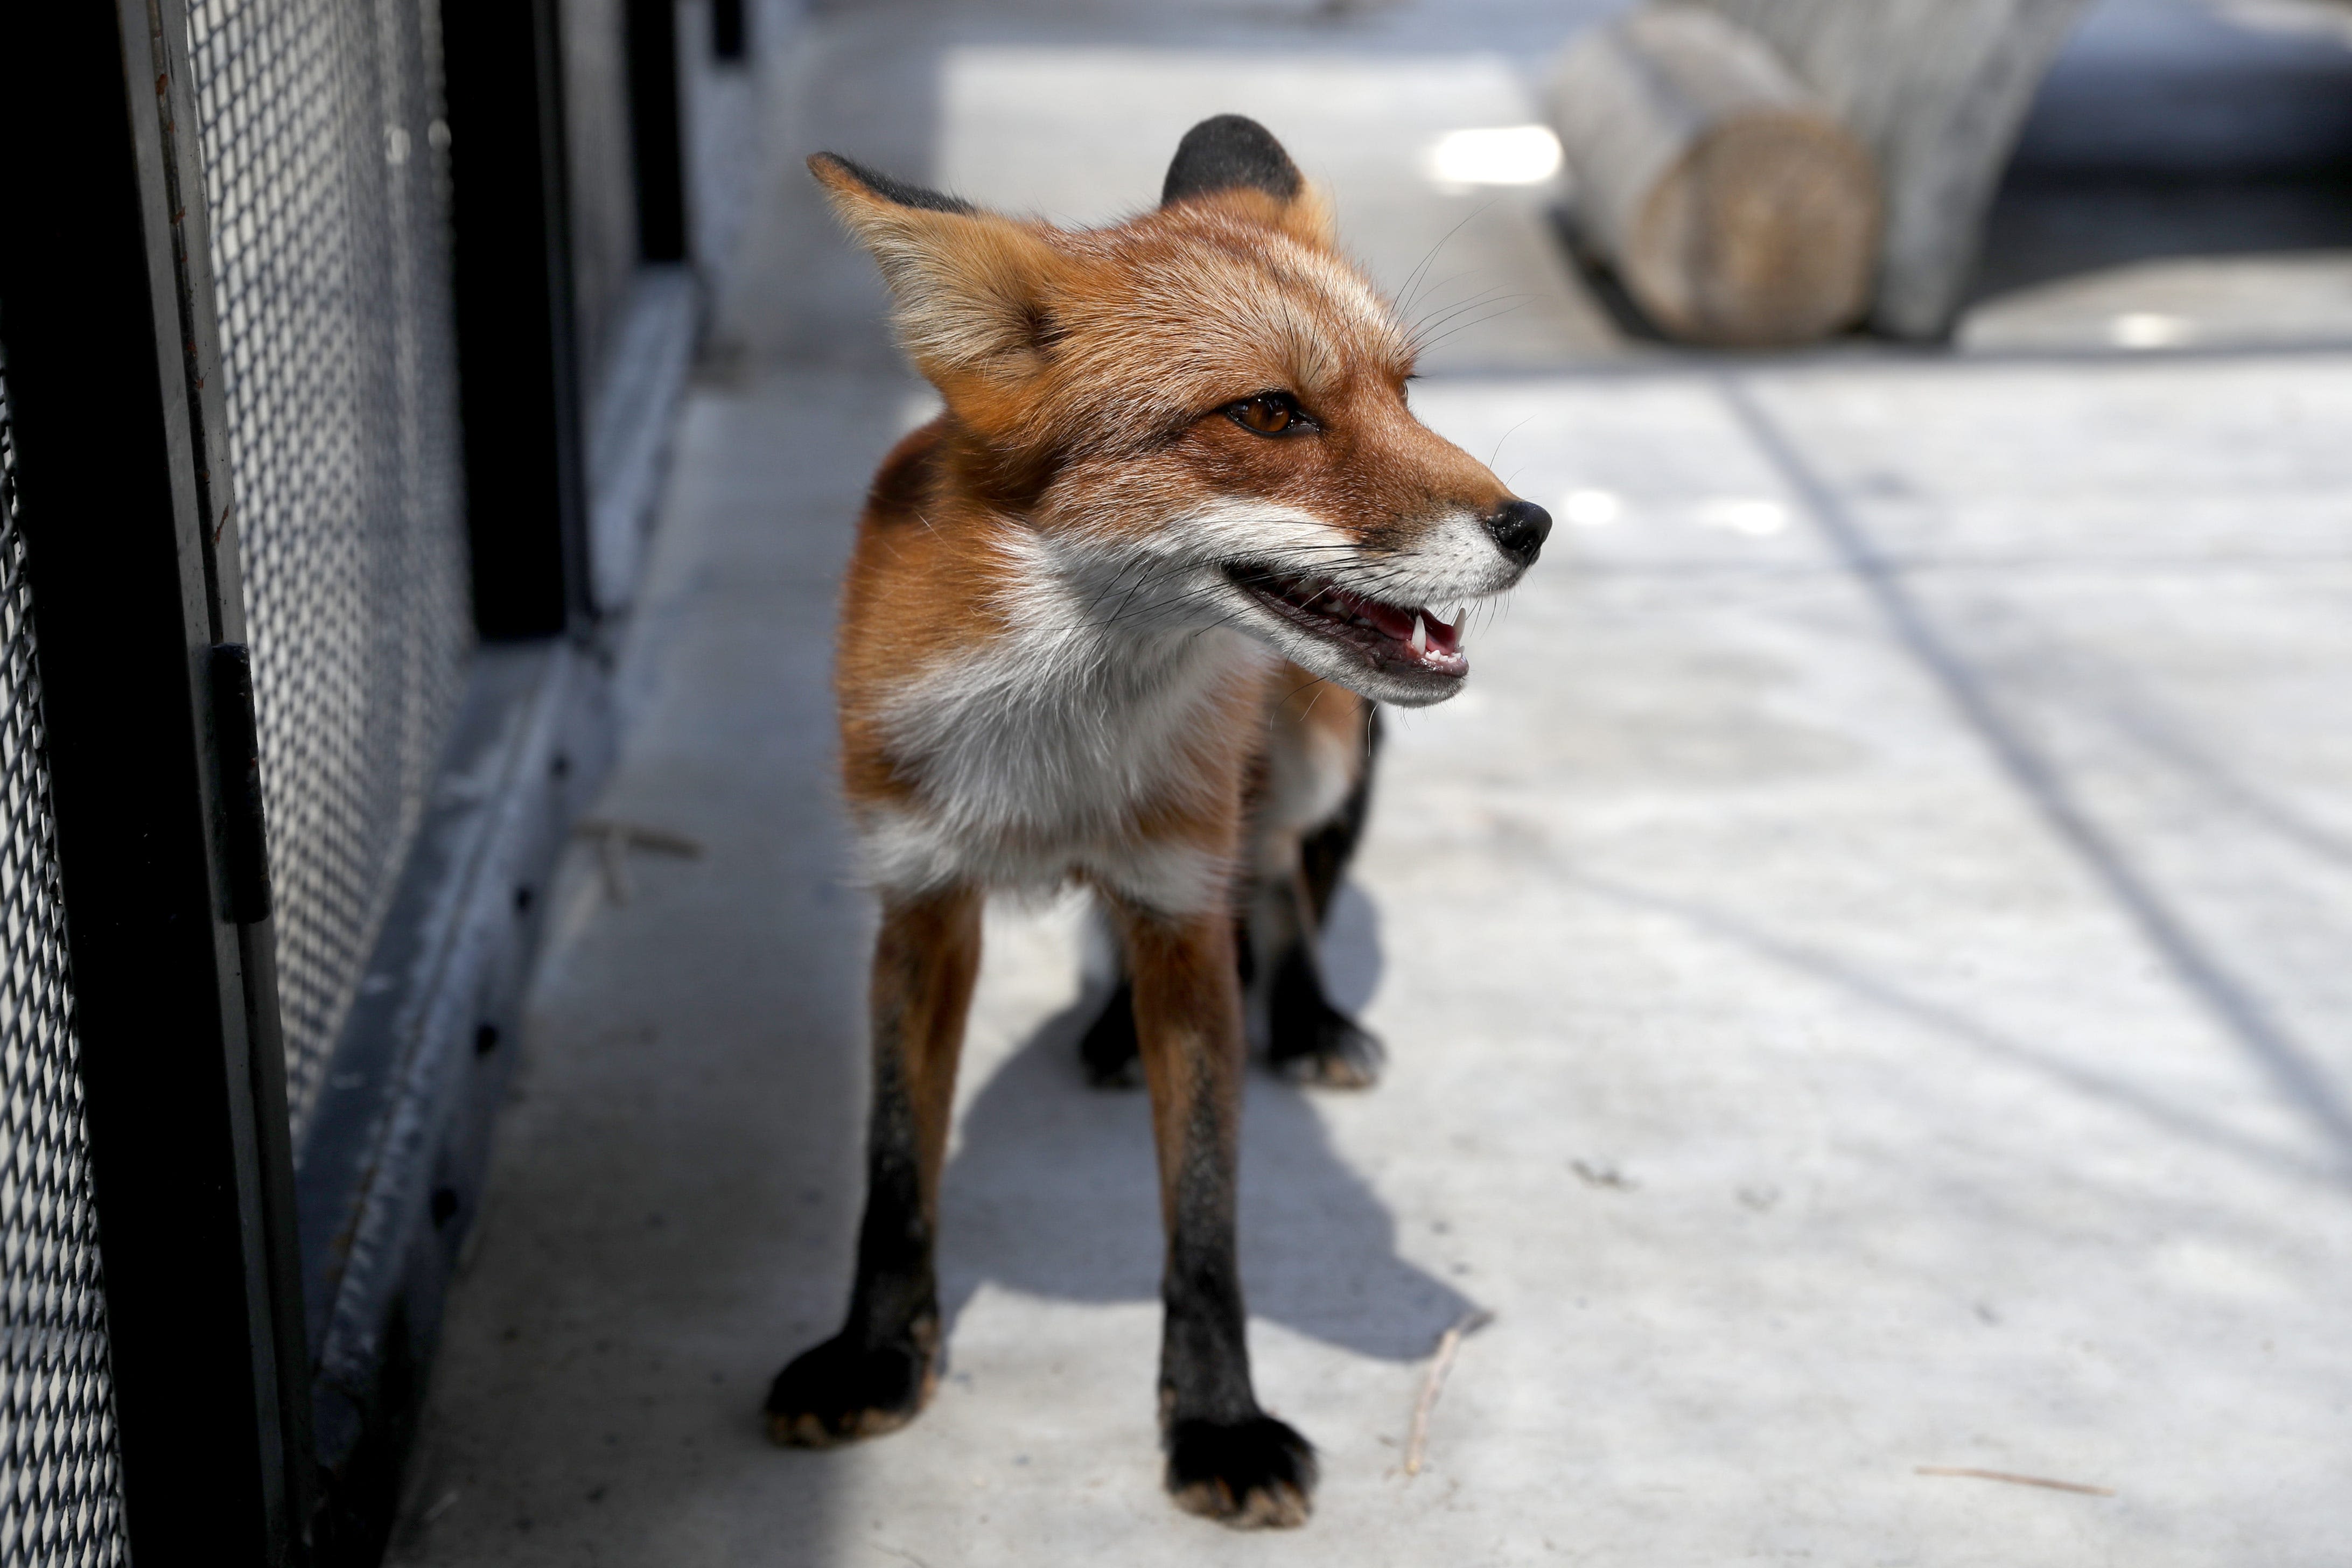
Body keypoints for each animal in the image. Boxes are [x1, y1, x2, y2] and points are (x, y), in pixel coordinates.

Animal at [762, 113, 1552, 1532]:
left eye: (1406, 391)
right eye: (1271, 412)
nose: (1532, 526)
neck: (1056, 757)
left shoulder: (1181, 907)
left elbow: (1206, 1227)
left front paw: (1218, 1425)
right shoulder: (920, 900)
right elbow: (894, 1174)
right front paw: (874, 1356)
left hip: (1308, 762)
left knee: (1281, 878)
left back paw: (1306, 1017)